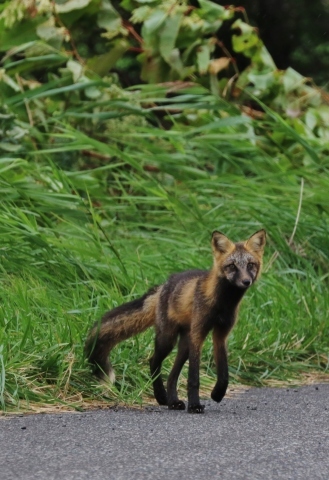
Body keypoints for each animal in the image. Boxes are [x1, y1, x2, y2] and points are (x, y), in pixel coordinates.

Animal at [84, 229, 264, 412]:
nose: (246, 281)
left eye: (250, 265)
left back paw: (173, 402)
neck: (222, 304)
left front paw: (217, 393)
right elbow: (193, 378)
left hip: (184, 344)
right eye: (232, 266)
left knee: (171, 376)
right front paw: (195, 405)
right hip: (168, 339)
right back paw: (161, 397)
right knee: (153, 361)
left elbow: (224, 374)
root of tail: (163, 286)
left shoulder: (221, 334)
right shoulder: (198, 333)